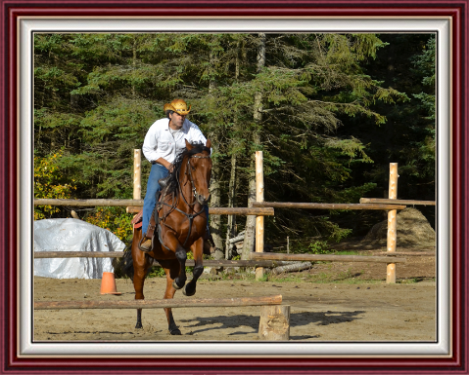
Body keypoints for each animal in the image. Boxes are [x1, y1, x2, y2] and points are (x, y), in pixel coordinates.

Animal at [124, 140, 212, 336]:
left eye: (210, 167)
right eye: (193, 166)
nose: (204, 197)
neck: (186, 208)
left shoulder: (197, 240)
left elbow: (199, 267)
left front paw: (189, 288)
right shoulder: (167, 236)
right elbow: (181, 254)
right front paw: (181, 282)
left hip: (168, 264)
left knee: (166, 300)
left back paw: (173, 326)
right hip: (140, 265)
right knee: (139, 296)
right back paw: (139, 324)